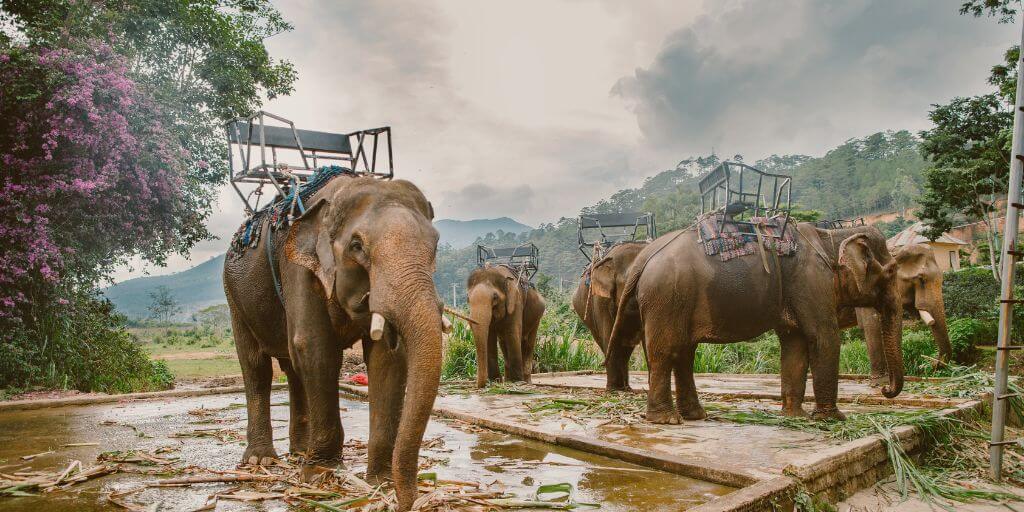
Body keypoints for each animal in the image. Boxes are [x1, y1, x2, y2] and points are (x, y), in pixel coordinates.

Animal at [223, 175, 443, 511]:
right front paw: (320, 475)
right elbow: (315, 347)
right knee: (256, 367)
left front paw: (380, 482)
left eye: (435, 244)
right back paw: (262, 460)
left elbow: (388, 358)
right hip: (234, 298)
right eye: (357, 246)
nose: (407, 502)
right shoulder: (298, 268)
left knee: (292, 369)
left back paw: (300, 452)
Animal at [572, 241, 646, 391]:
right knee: (607, 341)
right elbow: (608, 334)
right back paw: (619, 387)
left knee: (624, 348)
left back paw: (626, 387)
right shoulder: (600, 299)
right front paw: (613, 390)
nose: (600, 364)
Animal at [609, 223, 904, 424]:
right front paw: (833, 419)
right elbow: (823, 337)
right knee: (665, 353)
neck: (831, 235)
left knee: (683, 354)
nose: (885, 390)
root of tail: (642, 260)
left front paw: (795, 417)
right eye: (891, 271)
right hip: (668, 297)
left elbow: (794, 343)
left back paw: (695, 416)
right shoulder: (811, 281)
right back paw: (667, 420)